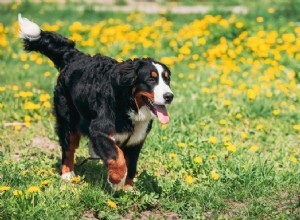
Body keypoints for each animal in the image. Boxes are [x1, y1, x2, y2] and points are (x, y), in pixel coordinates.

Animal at [18, 14, 173, 190]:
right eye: (151, 80)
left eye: (167, 80)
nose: (169, 96)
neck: (129, 104)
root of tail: (74, 56)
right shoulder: (99, 130)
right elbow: (117, 156)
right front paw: (116, 179)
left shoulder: (136, 140)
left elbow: (131, 165)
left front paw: (128, 188)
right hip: (68, 119)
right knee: (68, 148)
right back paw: (67, 174)